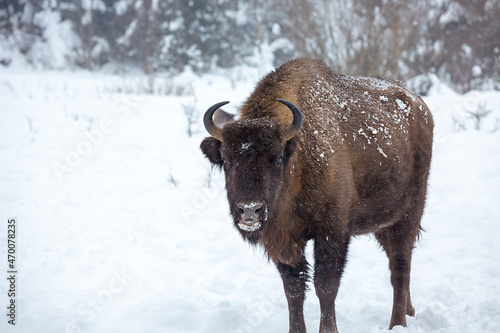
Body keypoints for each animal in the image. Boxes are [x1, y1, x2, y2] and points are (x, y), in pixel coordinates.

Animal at [199, 58, 434, 330]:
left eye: (277, 158)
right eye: (226, 159)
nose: (250, 209)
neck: (298, 160)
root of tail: (420, 104)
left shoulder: (333, 232)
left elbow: (325, 285)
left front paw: (329, 329)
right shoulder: (284, 240)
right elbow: (294, 290)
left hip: (409, 212)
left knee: (400, 266)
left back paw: (397, 323)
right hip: (384, 222)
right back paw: (409, 311)